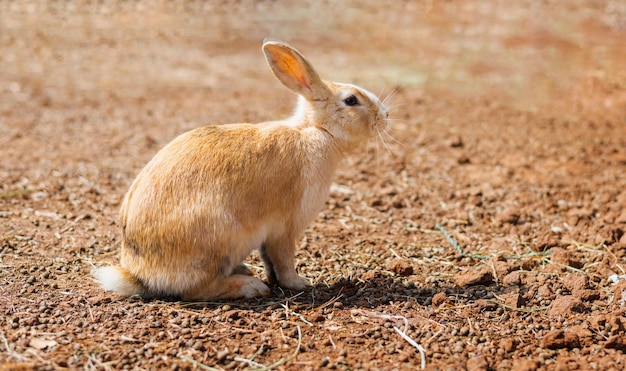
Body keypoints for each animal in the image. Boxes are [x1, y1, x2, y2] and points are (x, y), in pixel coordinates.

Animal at [93, 37, 388, 300]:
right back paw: (250, 287)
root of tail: (139, 274)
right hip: (218, 240)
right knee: (195, 291)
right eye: (351, 100)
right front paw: (299, 283)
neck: (317, 131)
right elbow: (284, 261)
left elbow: (270, 261)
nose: (385, 115)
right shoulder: (284, 228)